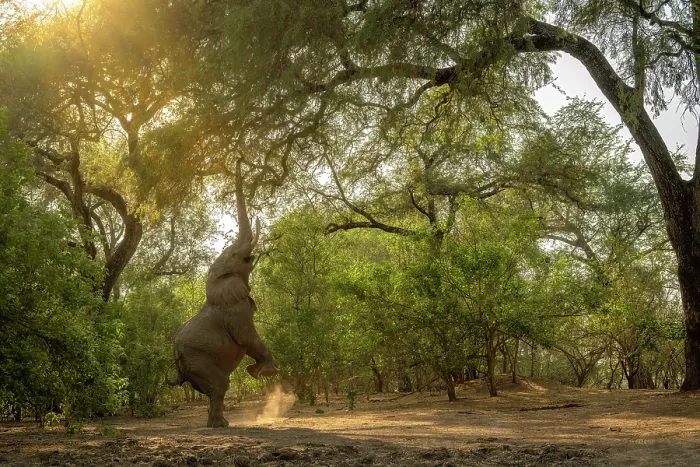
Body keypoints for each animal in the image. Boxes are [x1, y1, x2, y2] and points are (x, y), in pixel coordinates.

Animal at [171, 162, 278, 428]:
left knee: (216, 389)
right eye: (235, 256)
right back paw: (219, 426)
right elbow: (246, 337)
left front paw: (256, 372)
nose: (238, 160)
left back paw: (220, 424)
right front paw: (266, 372)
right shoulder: (236, 309)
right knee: (220, 385)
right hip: (197, 358)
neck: (216, 279)